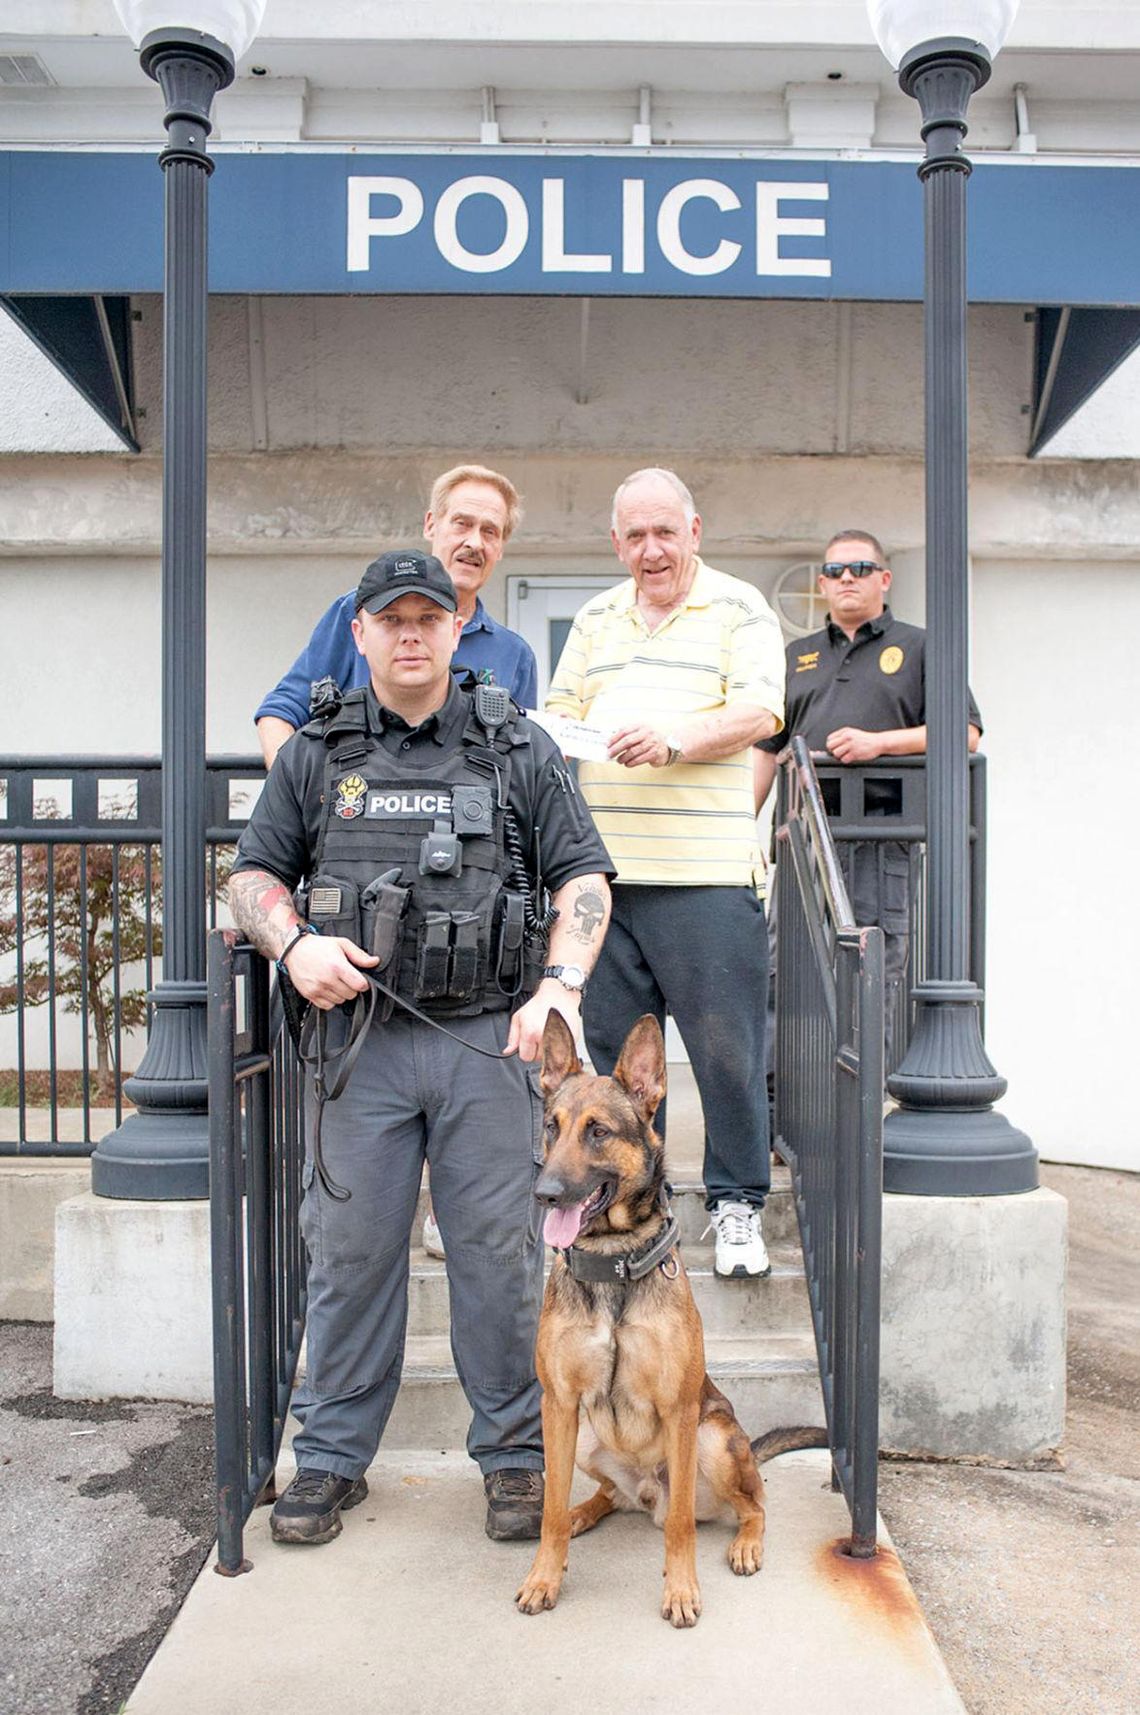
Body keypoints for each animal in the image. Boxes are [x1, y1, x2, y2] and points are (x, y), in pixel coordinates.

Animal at [517, 1008, 826, 1625]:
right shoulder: (558, 1404)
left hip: (712, 1439)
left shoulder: (681, 1412)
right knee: (607, 1496)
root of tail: (646, 1493)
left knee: (753, 1503)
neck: (613, 1264)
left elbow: (681, 1524)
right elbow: (550, 1512)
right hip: (581, 1437)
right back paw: (586, 1512)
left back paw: (746, 1544)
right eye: (551, 1127)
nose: (545, 1194)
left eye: (598, 1131)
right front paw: (545, 1576)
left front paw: (681, 1591)